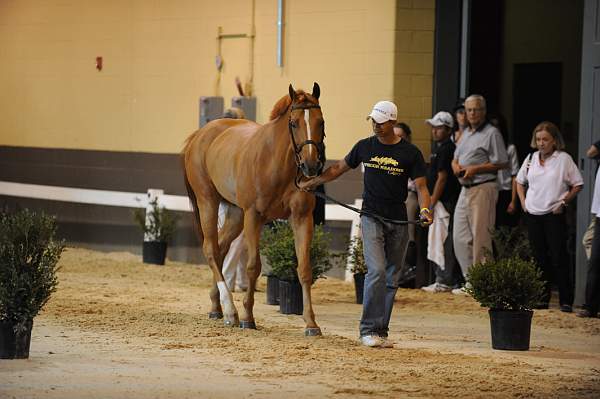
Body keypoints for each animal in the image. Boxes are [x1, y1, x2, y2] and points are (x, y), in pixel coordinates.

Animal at [183, 83, 326, 336]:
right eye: (294, 123)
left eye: (321, 122)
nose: (311, 166)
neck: (276, 163)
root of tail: (199, 135)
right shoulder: (254, 216)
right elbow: (253, 266)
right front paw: (247, 318)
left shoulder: (301, 218)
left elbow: (304, 269)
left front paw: (311, 323)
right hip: (208, 202)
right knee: (210, 248)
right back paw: (231, 311)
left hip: (235, 214)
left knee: (220, 249)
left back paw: (217, 307)